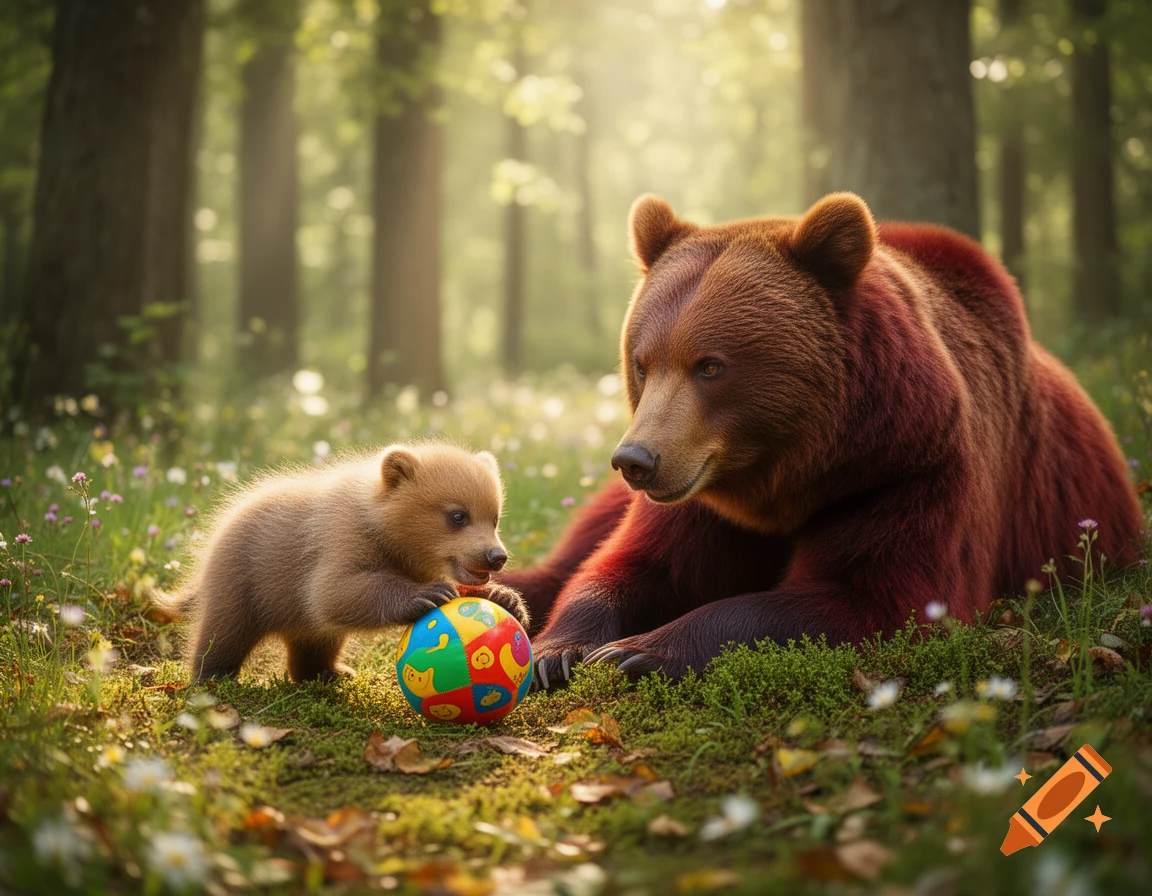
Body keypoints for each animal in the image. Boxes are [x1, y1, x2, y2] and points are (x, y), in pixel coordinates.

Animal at [162, 443, 528, 683]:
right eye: (457, 515)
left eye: (495, 517)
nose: (495, 556)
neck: (383, 530)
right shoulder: (339, 536)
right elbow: (333, 591)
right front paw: (428, 594)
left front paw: (504, 597)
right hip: (242, 574)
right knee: (225, 628)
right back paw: (213, 675)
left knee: (316, 638)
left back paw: (330, 671)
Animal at [499, 192, 1144, 690]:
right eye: (642, 361)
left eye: (710, 365)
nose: (635, 460)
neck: (789, 474)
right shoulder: (703, 496)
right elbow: (631, 565)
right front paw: (562, 649)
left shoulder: (907, 472)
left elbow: (871, 595)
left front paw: (640, 650)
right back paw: (507, 592)